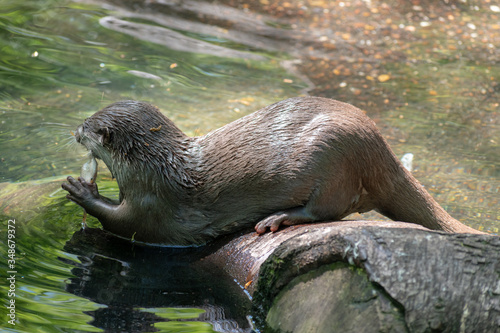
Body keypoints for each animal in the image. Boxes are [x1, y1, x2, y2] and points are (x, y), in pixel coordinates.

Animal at [60, 96, 482, 244]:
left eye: (89, 126)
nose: (75, 130)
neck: (157, 167)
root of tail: (378, 145)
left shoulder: (154, 203)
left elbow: (125, 223)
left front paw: (81, 190)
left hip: (333, 156)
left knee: (329, 210)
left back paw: (277, 218)